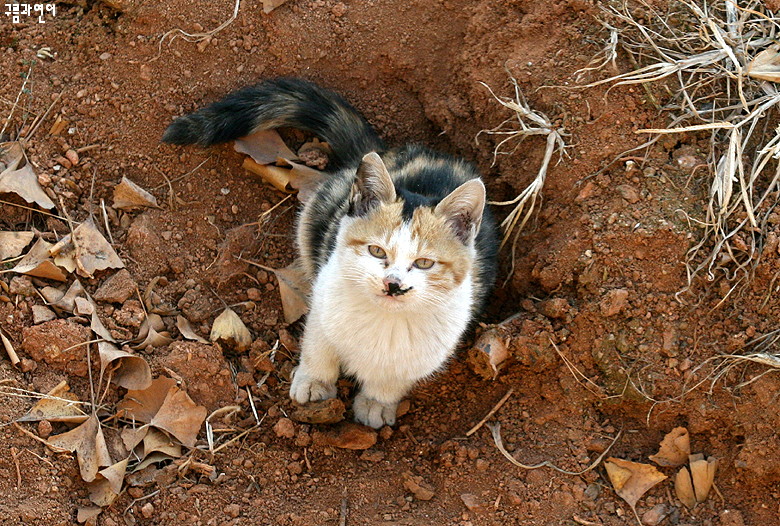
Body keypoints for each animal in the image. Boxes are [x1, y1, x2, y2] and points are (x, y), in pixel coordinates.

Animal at [163, 80, 500, 432]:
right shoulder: (325, 298)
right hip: (316, 212)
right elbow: (318, 344)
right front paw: (313, 384)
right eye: (376, 250)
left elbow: (393, 378)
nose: (393, 284)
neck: (385, 321)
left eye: (424, 262)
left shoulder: (428, 350)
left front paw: (377, 403)